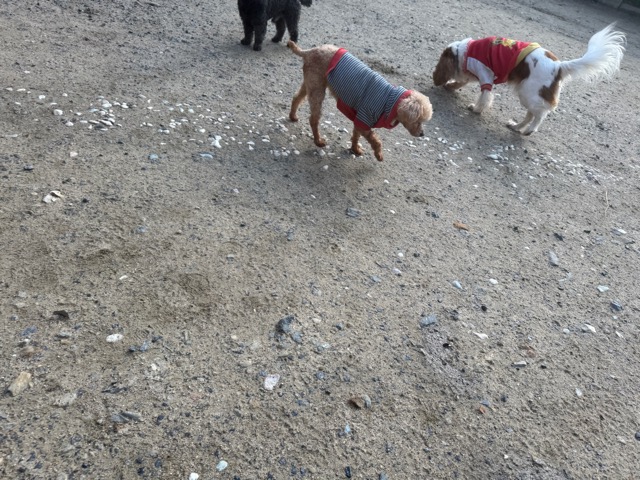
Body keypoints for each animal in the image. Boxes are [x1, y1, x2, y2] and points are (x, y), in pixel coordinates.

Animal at [288, 41, 433, 161]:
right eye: (418, 121)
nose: (422, 134)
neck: (391, 102)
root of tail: (310, 51)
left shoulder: (359, 119)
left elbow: (356, 135)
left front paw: (355, 149)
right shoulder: (365, 118)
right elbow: (376, 141)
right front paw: (379, 155)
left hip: (311, 83)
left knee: (297, 97)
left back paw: (293, 116)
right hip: (317, 90)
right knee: (313, 118)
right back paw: (318, 141)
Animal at [432, 24, 625, 135]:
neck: (465, 52)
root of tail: (559, 66)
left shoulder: (485, 74)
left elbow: (485, 97)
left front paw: (476, 109)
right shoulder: (474, 73)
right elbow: (462, 82)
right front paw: (451, 86)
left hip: (529, 93)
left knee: (540, 115)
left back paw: (530, 130)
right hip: (528, 95)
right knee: (530, 114)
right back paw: (517, 127)